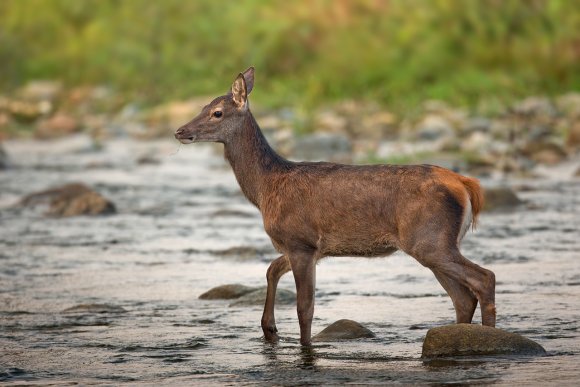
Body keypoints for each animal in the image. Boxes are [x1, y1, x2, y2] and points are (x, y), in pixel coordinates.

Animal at [174, 66, 496, 346]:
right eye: (202, 106)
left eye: (217, 113)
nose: (179, 131)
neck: (266, 189)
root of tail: (464, 183)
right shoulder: (307, 246)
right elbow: (271, 270)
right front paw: (270, 329)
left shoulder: (300, 241)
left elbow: (305, 308)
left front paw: (303, 346)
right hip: (435, 243)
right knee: (462, 297)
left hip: (429, 239)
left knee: (484, 278)